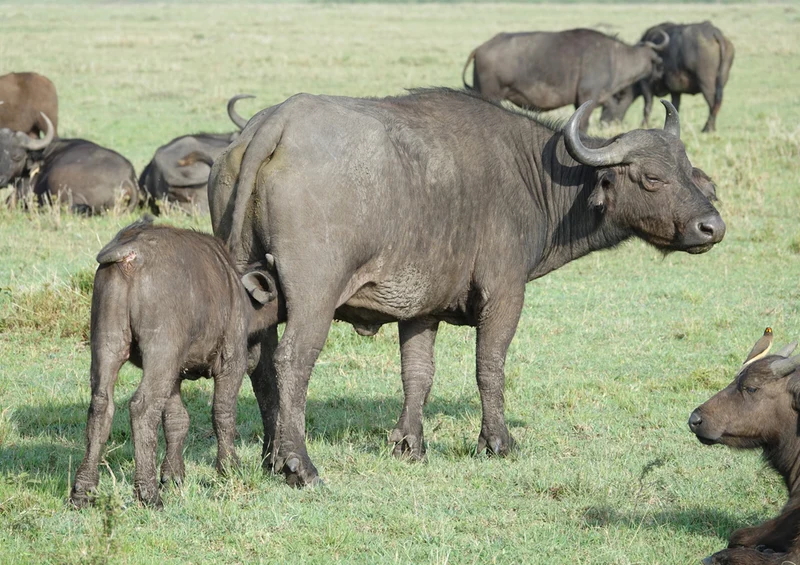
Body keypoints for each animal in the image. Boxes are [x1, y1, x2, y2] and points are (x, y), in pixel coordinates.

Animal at [70, 218, 281, 508]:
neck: (237, 292)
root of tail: (130, 254)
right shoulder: (231, 363)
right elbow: (223, 412)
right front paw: (229, 467)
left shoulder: (175, 374)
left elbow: (176, 420)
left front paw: (172, 474)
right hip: (161, 352)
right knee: (142, 407)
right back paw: (147, 493)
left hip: (109, 343)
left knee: (101, 403)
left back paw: (83, 489)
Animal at [209, 88, 724, 487]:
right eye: (652, 178)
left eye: (691, 172)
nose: (712, 227)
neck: (531, 177)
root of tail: (276, 122)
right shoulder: (505, 294)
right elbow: (490, 365)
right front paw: (497, 441)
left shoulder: (420, 309)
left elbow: (418, 373)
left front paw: (409, 444)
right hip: (314, 296)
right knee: (291, 362)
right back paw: (298, 464)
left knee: (258, 366)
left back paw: (270, 457)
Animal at [461, 28, 668, 131]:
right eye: (657, 62)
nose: (661, 73)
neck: (614, 58)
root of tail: (480, 49)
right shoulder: (587, 98)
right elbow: (583, 126)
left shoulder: (585, 102)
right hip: (491, 94)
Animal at [600, 21, 734, 133]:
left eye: (615, 99)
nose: (603, 122)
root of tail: (713, 32)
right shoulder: (676, 91)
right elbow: (675, 106)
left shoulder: (646, 85)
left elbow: (647, 106)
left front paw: (644, 124)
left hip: (706, 84)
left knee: (713, 104)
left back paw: (708, 128)